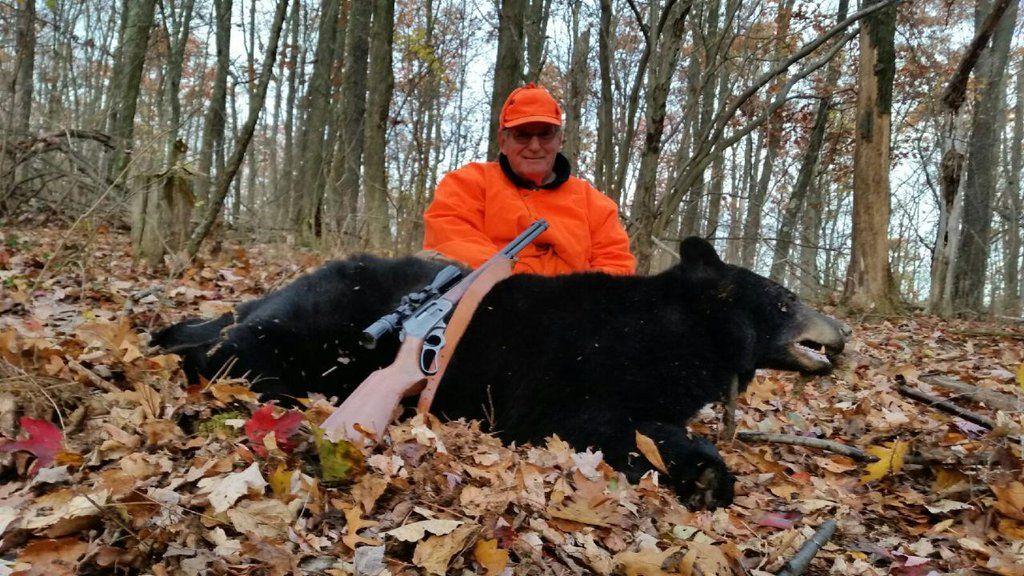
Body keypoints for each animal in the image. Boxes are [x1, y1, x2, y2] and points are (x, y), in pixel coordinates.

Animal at [153, 237, 849, 508]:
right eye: (786, 298)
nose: (842, 334)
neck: (680, 331)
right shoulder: (572, 373)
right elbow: (603, 422)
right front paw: (707, 475)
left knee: (218, 328)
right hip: (322, 327)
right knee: (241, 352)